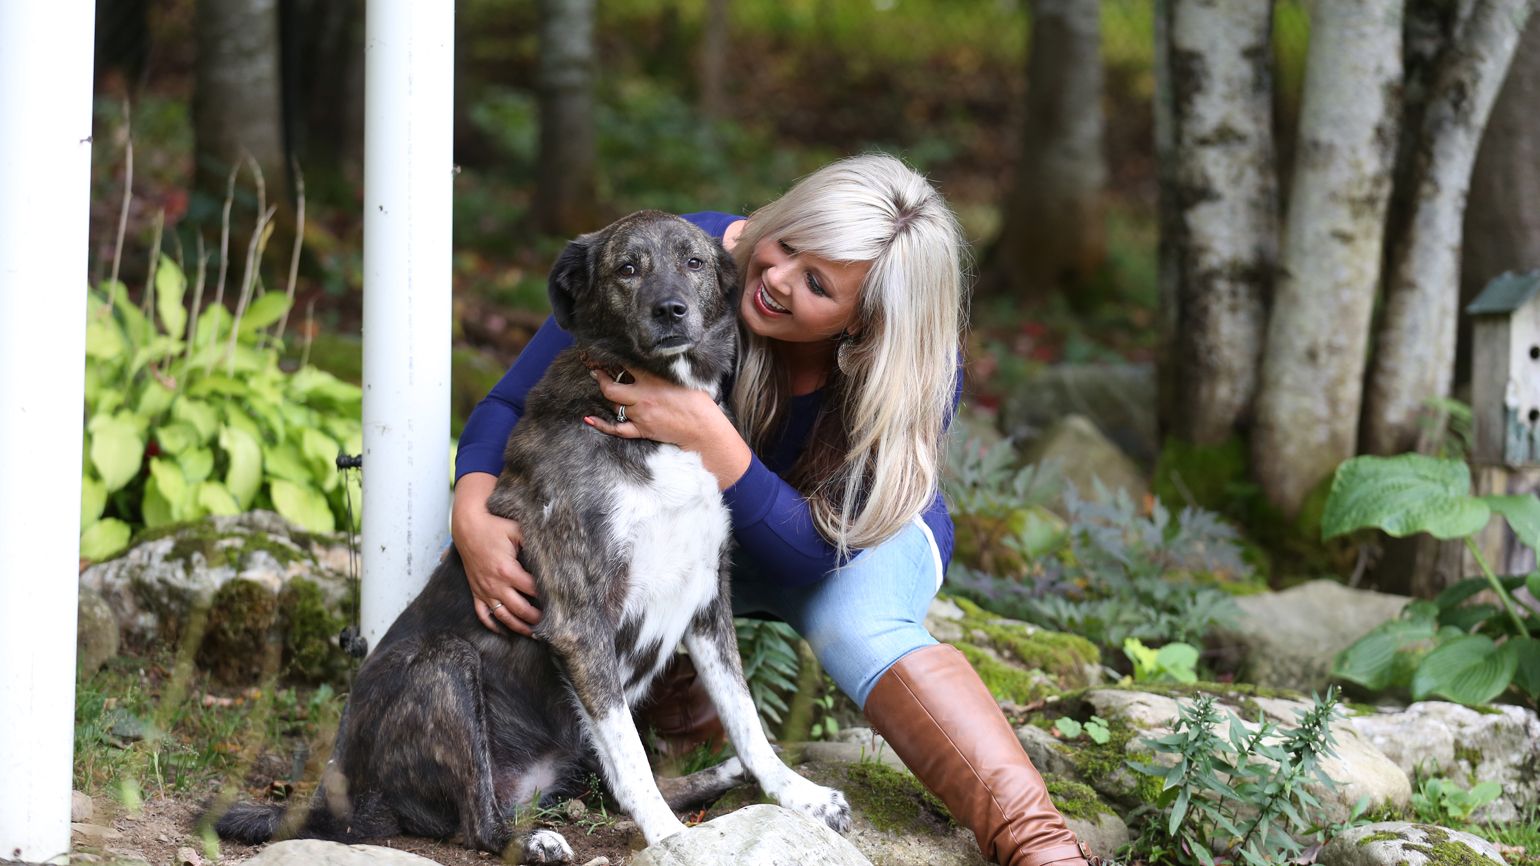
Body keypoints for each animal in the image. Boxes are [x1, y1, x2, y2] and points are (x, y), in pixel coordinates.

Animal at [215, 212, 850, 856]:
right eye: (627, 269)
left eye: (693, 262)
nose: (671, 310)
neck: (654, 426)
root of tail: (337, 796)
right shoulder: (579, 617)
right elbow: (632, 756)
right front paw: (671, 839)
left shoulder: (705, 599)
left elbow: (745, 720)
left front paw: (799, 795)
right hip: (447, 666)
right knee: (478, 823)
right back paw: (535, 840)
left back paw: (720, 776)